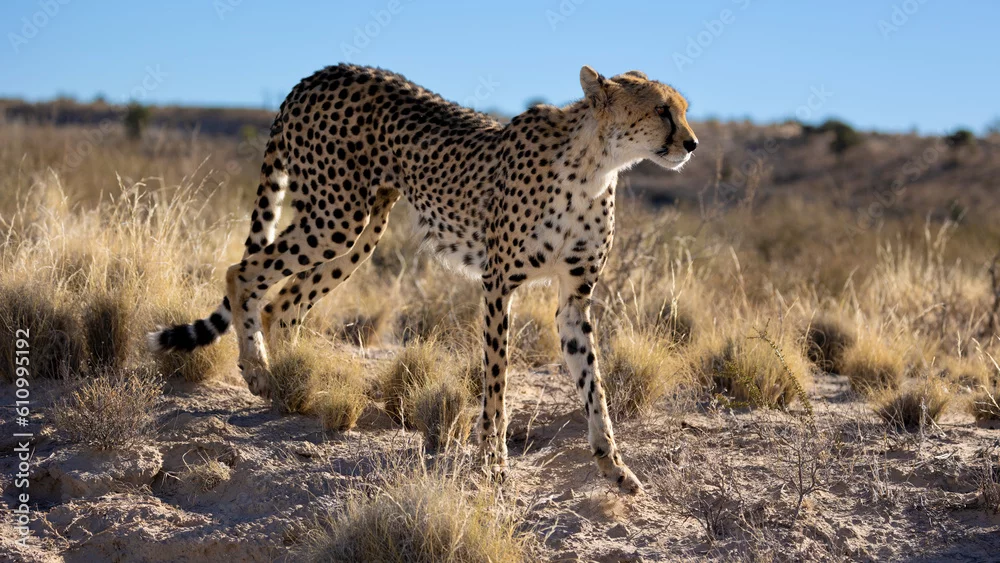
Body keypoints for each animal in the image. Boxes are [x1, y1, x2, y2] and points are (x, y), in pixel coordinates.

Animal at [148, 63, 698, 494]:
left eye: (684, 109)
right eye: (661, 111)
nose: (691, 144)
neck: (596, 165)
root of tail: (321, 73)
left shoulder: (574, 299)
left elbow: (594, 386)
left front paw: (614, 468)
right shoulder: (498, 284)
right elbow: (496, 382)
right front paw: (493, 463)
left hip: (361, 228)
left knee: (283, 302)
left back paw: (295, 391)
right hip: (334, 217)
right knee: (243, 272)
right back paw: (259, 373)